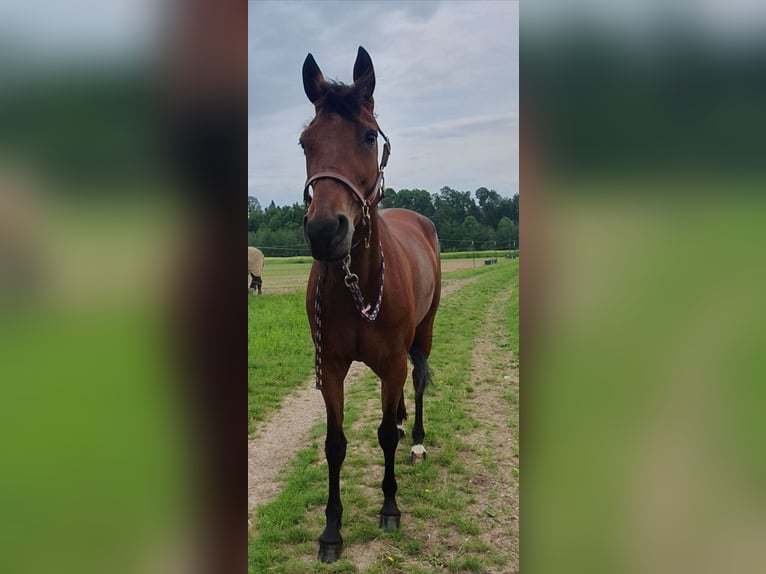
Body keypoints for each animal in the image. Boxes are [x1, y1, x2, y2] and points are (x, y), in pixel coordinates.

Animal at [302, 47, 444, 564]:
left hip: (424, 332)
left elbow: (381, 433)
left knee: (416, 380)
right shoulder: (332, 367)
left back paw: (415, 439)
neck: (357, 282)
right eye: (305, 142)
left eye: (367, 135)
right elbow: (335, 444)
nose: (326, 230)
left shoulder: (391, 359)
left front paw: (389, 507)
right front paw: (331, 531)